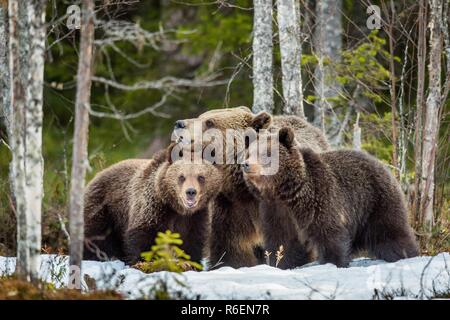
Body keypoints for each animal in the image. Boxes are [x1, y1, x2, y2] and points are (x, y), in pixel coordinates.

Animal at [83, 146, 223, 264]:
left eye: (201, 177)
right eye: (181, 176)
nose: (191, 192)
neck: (176, 208)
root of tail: (96, 176)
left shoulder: (195, 216)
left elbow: (192, 240)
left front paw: (191, 262)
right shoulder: (153, 207)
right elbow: (145, 235)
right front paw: (146, 260)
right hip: (105, 208)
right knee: (94, 234)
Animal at [243, 127, 418, 268]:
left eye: (265, 153)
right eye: (249, 153)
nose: (246, 164)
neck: (285, 192)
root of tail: (381, 164)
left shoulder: (319, 199)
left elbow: (328, 233)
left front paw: (333, 262)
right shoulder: (275, 210)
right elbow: (282, 241)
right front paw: (281, 264)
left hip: (375, 201)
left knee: (390, 232)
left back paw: (405, 254)